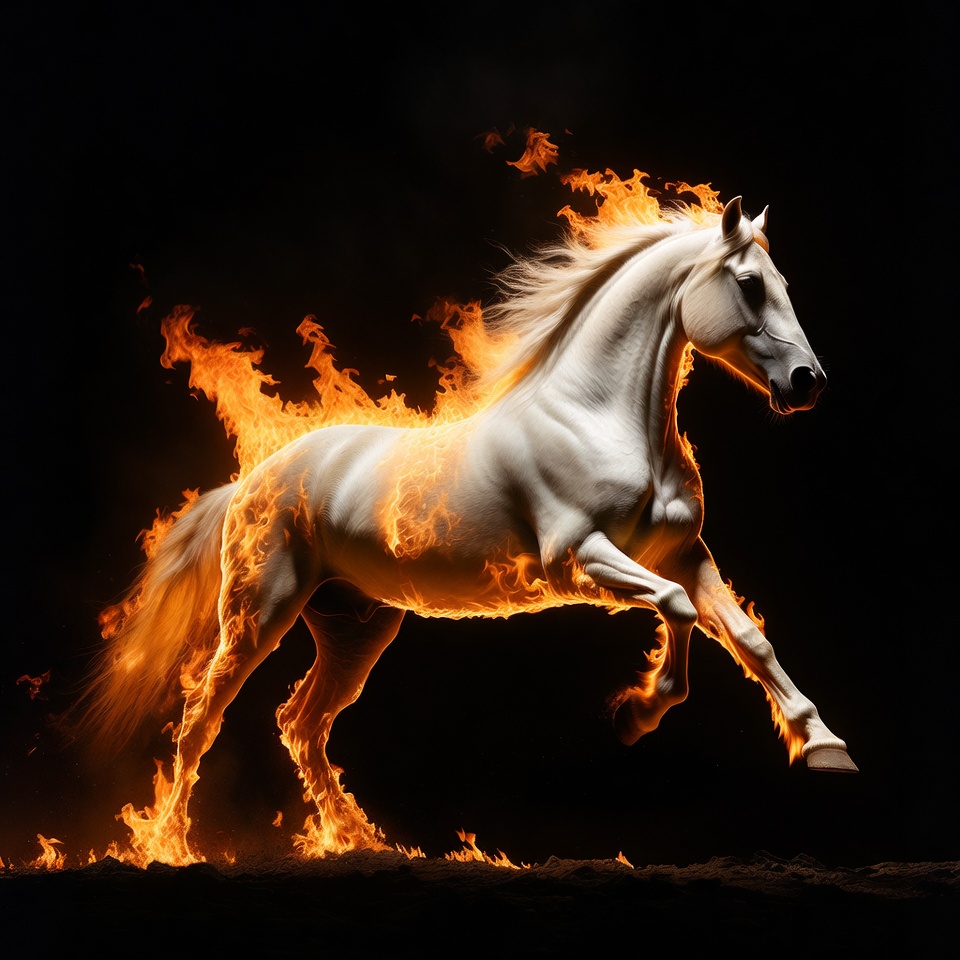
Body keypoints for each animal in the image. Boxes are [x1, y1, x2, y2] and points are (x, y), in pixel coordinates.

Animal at [75, 195, 857, 865]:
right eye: (750, 285)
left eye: (783, 282)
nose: (807, 381)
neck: (597, 416)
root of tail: (248, 482)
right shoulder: (579, 559)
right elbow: (678, 609)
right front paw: (636, 713)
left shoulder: (684, 554)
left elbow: (747, 636)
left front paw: (823, 745)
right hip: (257, 613)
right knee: (201, 717)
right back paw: (172, 845)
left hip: (356, 628)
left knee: (302, 723)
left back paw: (359, 839)